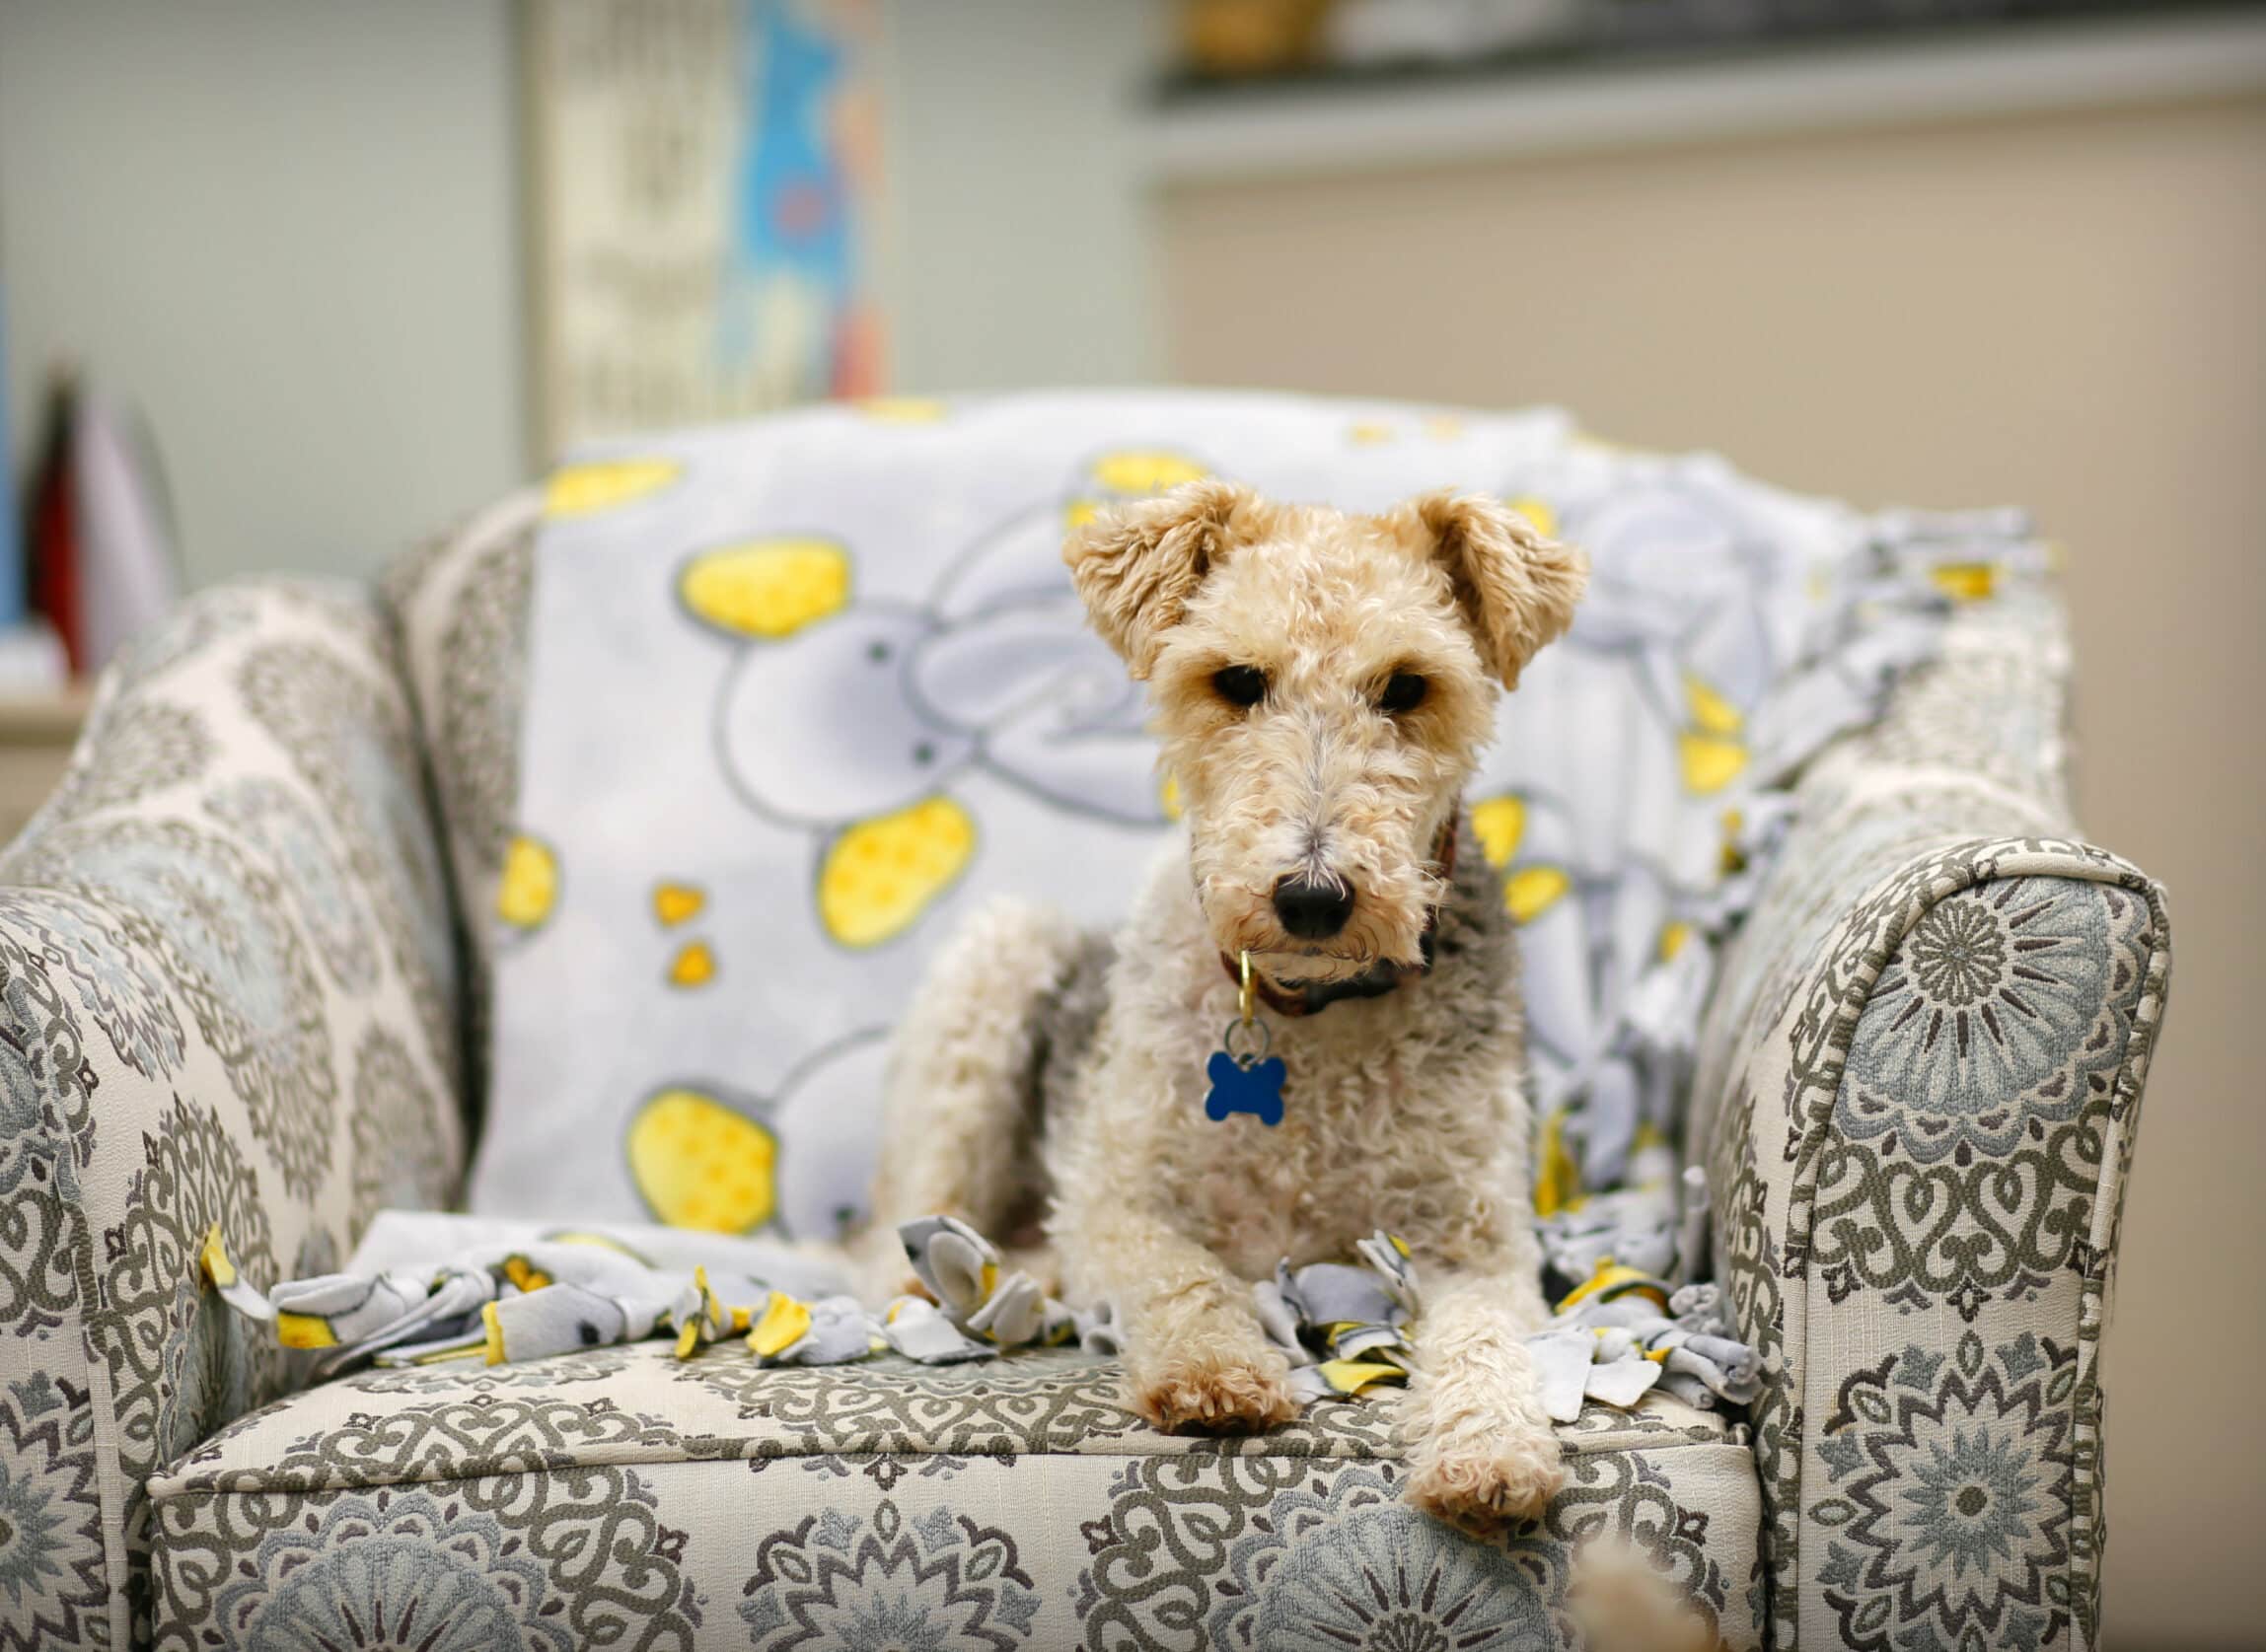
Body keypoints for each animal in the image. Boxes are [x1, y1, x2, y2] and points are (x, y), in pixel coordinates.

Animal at [856, 480, 1585, 1532]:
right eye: (1238, 679)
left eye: (1408, 687)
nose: (1312, 899)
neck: (1305, 1011)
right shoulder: (1115, 1198)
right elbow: (1185, 1275)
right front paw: (1217, 1376)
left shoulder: (1477, 1240)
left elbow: (1486, 1340)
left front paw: (1490, 1458)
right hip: (993, 978)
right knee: (896, 1233)